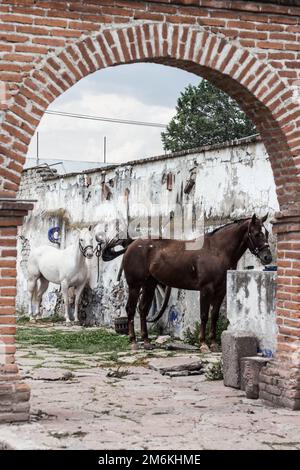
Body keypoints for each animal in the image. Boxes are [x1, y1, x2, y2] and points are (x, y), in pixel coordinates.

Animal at [102, 215, 270, 350]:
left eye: (267, 233)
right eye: (257, 234)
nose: (267, 257)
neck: (217, 251)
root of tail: (131, 244)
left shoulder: (221, 290)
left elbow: (214, 315)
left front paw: (214, 343)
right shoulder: (206, 289)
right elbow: (204, 315)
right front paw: (203, 344)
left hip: (149, 285)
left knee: (142, 309)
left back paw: (146, 341)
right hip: (135, 286)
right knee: (131, 309)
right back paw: (133, 342)